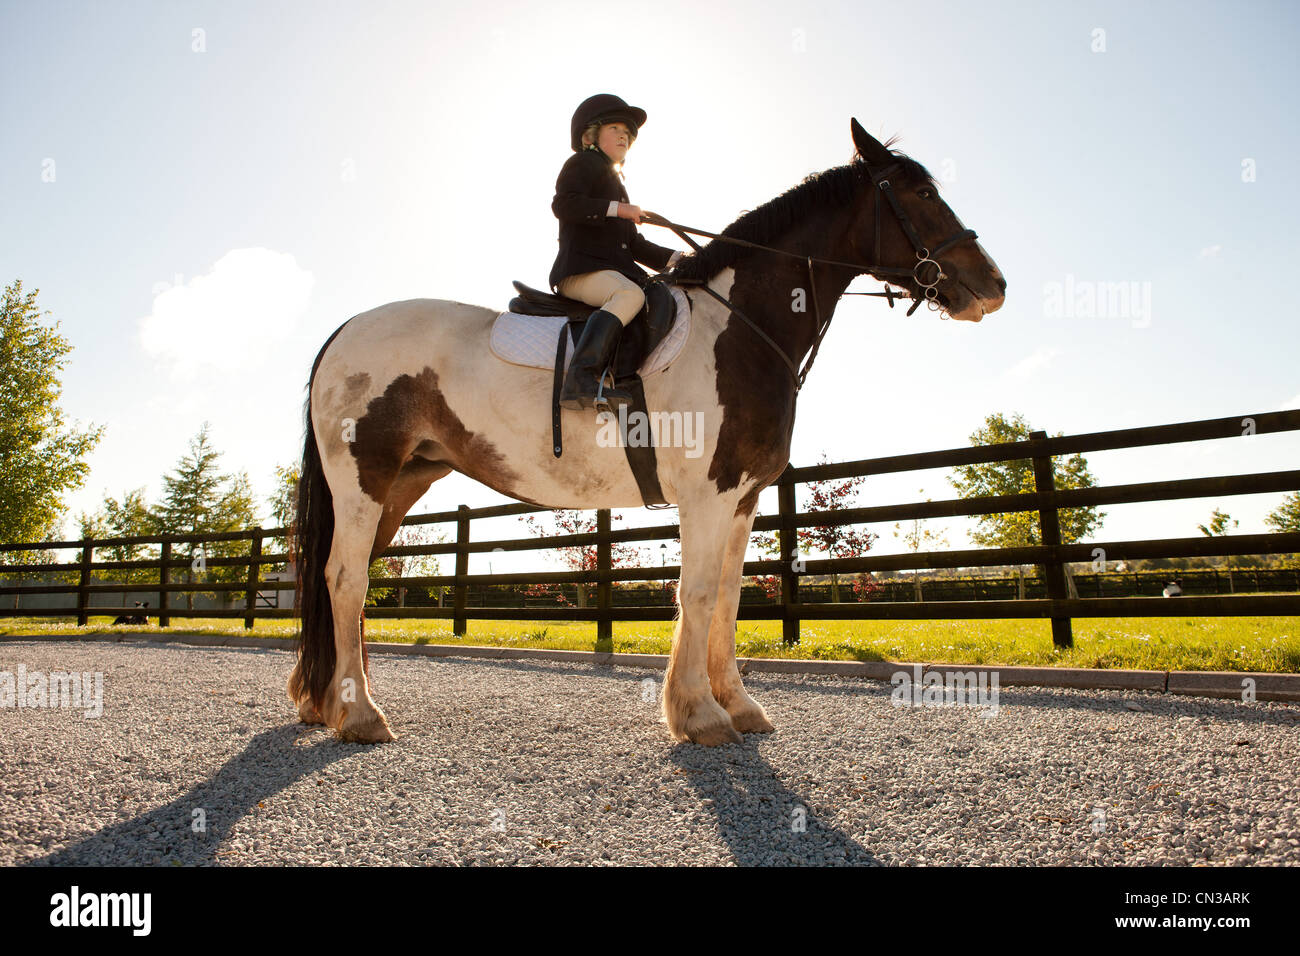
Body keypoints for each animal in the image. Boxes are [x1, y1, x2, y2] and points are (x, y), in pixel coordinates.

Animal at [292, 119, 1003, 749]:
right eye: (920, 193)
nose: (993, 287)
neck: (741, 327)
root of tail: (345, 329)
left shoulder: (742, 499)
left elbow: (729, 599)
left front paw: (739, 705)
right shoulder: (707, 496)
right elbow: (698, 592)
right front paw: (699, 714)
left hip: (400, 482)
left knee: (352, 580)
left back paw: (330, 703)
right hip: (363, 478)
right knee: (345, 579)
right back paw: (360, 716)